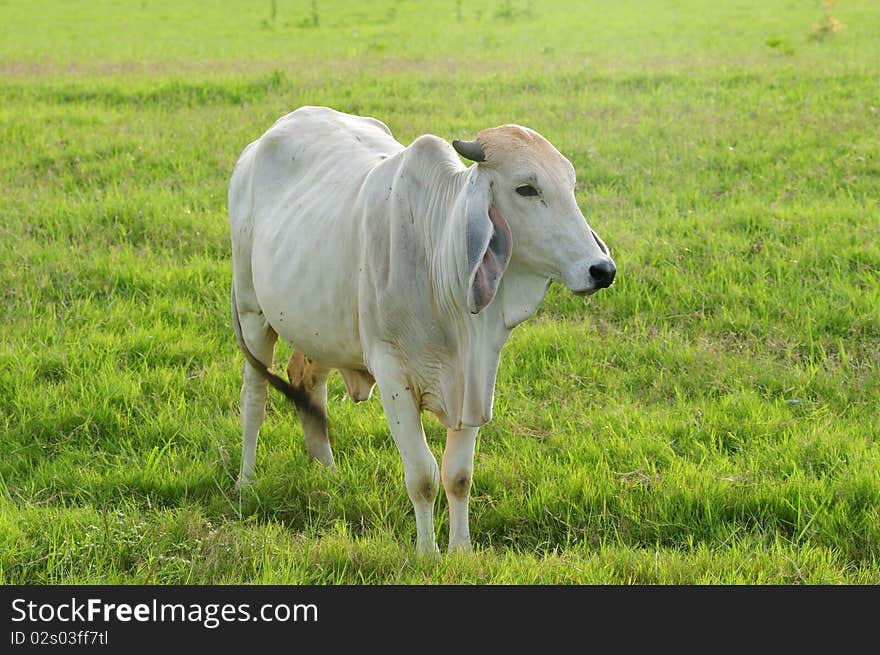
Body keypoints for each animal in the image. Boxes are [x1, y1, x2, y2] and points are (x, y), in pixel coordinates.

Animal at [227, 106, 616, 552]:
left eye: (570, 185)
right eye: (526, 189)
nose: (601, 270)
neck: (438, 258)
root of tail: (262, 141)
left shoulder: (477, 375)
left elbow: (458, 475)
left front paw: (461, 550)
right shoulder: (393, 377)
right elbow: (423, 477)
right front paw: (427, 553)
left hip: (319, 326)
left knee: (307, 383)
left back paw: (328, 471)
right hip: (252, 312)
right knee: (255, 398)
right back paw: (247, 480)